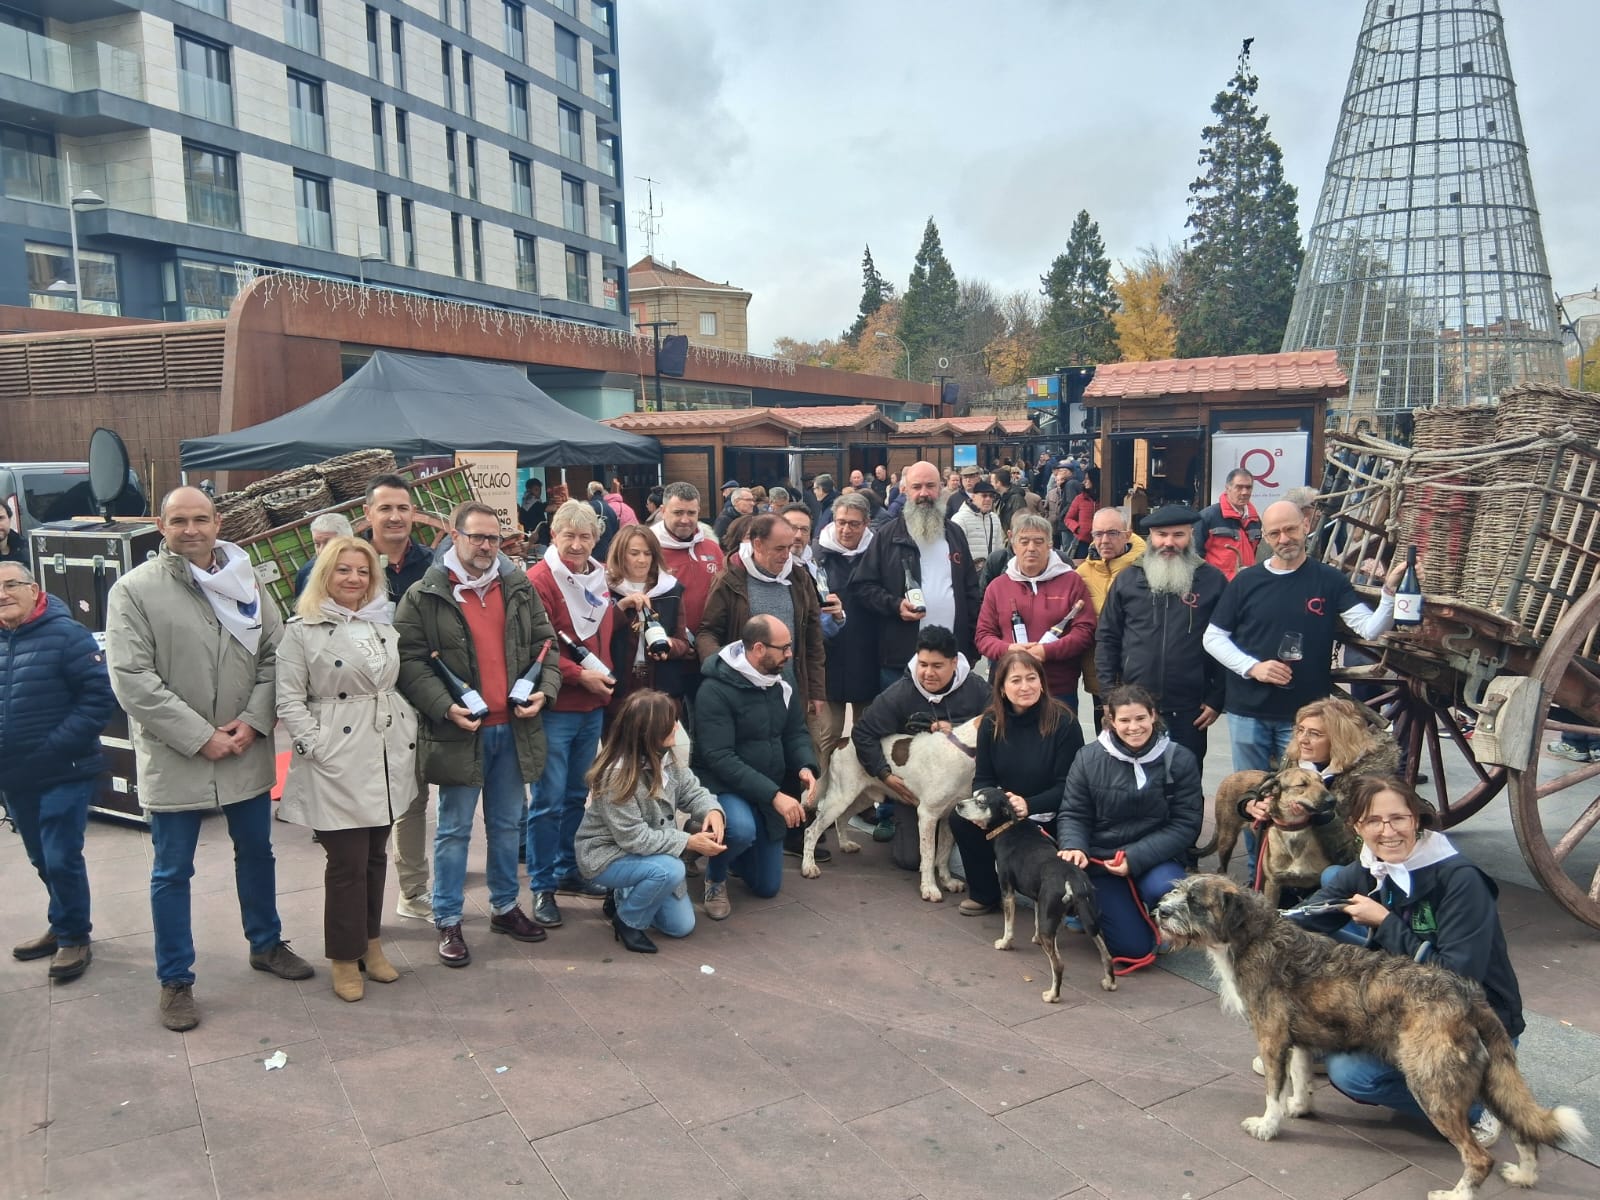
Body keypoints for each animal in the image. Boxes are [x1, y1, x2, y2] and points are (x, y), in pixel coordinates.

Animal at [801, 716, 979, 903]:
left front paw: (948, 882)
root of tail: (843, 740)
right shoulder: (928, 814)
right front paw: (929, 888)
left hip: (863, 797)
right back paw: (808, 866)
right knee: (812, 831)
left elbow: (943, 853)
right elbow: (929, 855)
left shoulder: (948, 816)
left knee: (841, 818)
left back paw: (845, 844)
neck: (964, 751)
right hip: (841, 796)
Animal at [953, 787, 1116, 1000]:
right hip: (1090, 918)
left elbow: (1009, 924)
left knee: (1059, 964)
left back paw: (1052, 995)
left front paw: (1005, 943)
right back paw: (1109, 983)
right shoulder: (1038, 897)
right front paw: (1036, 939)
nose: (958, 804)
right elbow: (1037, 920)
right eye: (973, 795)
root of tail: (1072, 879)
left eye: (981, 802)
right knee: (1106, 954)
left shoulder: (1007, 890)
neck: (1008, 826)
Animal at [1153, 874, 1588, 1200]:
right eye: (1178, 890)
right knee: (1523, 1131)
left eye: (1195, 900)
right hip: (1492, 1077)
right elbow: (1300, 1078)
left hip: (1430, 1084)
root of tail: (1466, 994)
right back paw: (1523, 1177)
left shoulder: (1273, 1039)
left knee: (1478, 1157)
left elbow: (1273, 1091)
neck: (1252, 936)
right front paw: (1299, 1107)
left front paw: (1267, 1126)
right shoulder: (1299, 1041)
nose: (1159, 910)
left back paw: (1456, 1193)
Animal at [1193, 767, 1336, 906]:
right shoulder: (1273, 884)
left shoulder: (1318, 885)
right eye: (1302, 784)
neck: (1294, 830)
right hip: (1227, 839)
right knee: (1221, 868)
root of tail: (1234, 774)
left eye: (1322, 782)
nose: (1332, 800)